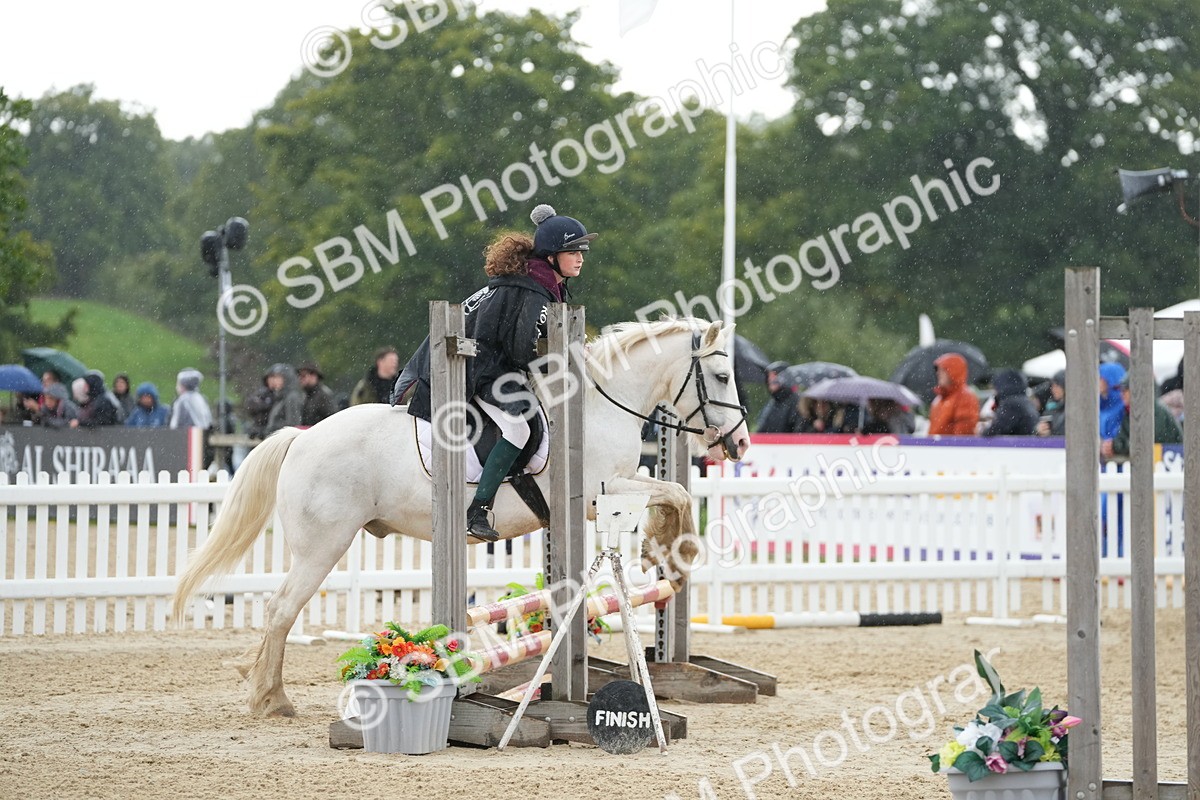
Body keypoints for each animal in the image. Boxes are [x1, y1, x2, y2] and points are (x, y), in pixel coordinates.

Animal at [171, 316, 751, 716]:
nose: (741, 443)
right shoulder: (593, 496)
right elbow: (676, 492)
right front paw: (674, 553)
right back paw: (272, 699)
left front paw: (662, 551)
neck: (599, 406)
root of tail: (302, 437)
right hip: (322, 547)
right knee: (280, 611)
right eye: (722, 375)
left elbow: (672, 491)